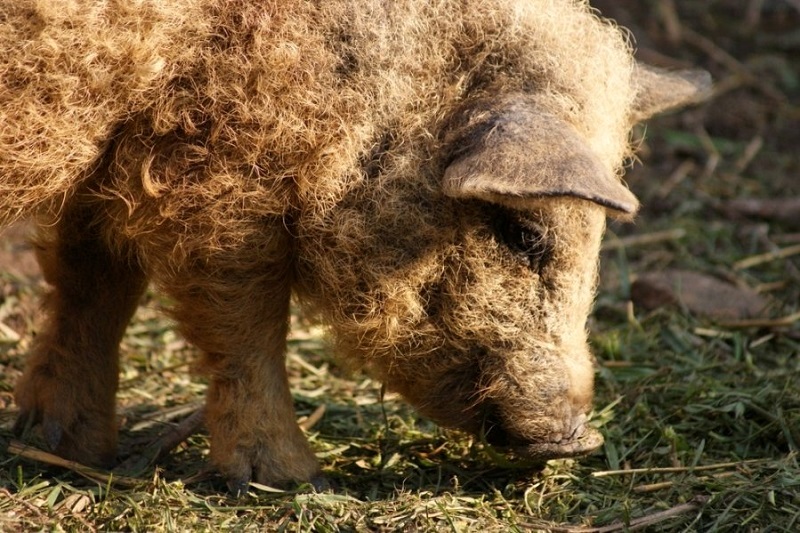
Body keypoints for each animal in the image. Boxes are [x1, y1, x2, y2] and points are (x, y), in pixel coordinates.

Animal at [0, 1, 708, 490]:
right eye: (522, 234)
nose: (578, 442)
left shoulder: (114, 158)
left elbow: (94, 286)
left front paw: (68, 449)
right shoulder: (220, 184)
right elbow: (246, 326)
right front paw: (292, 480)